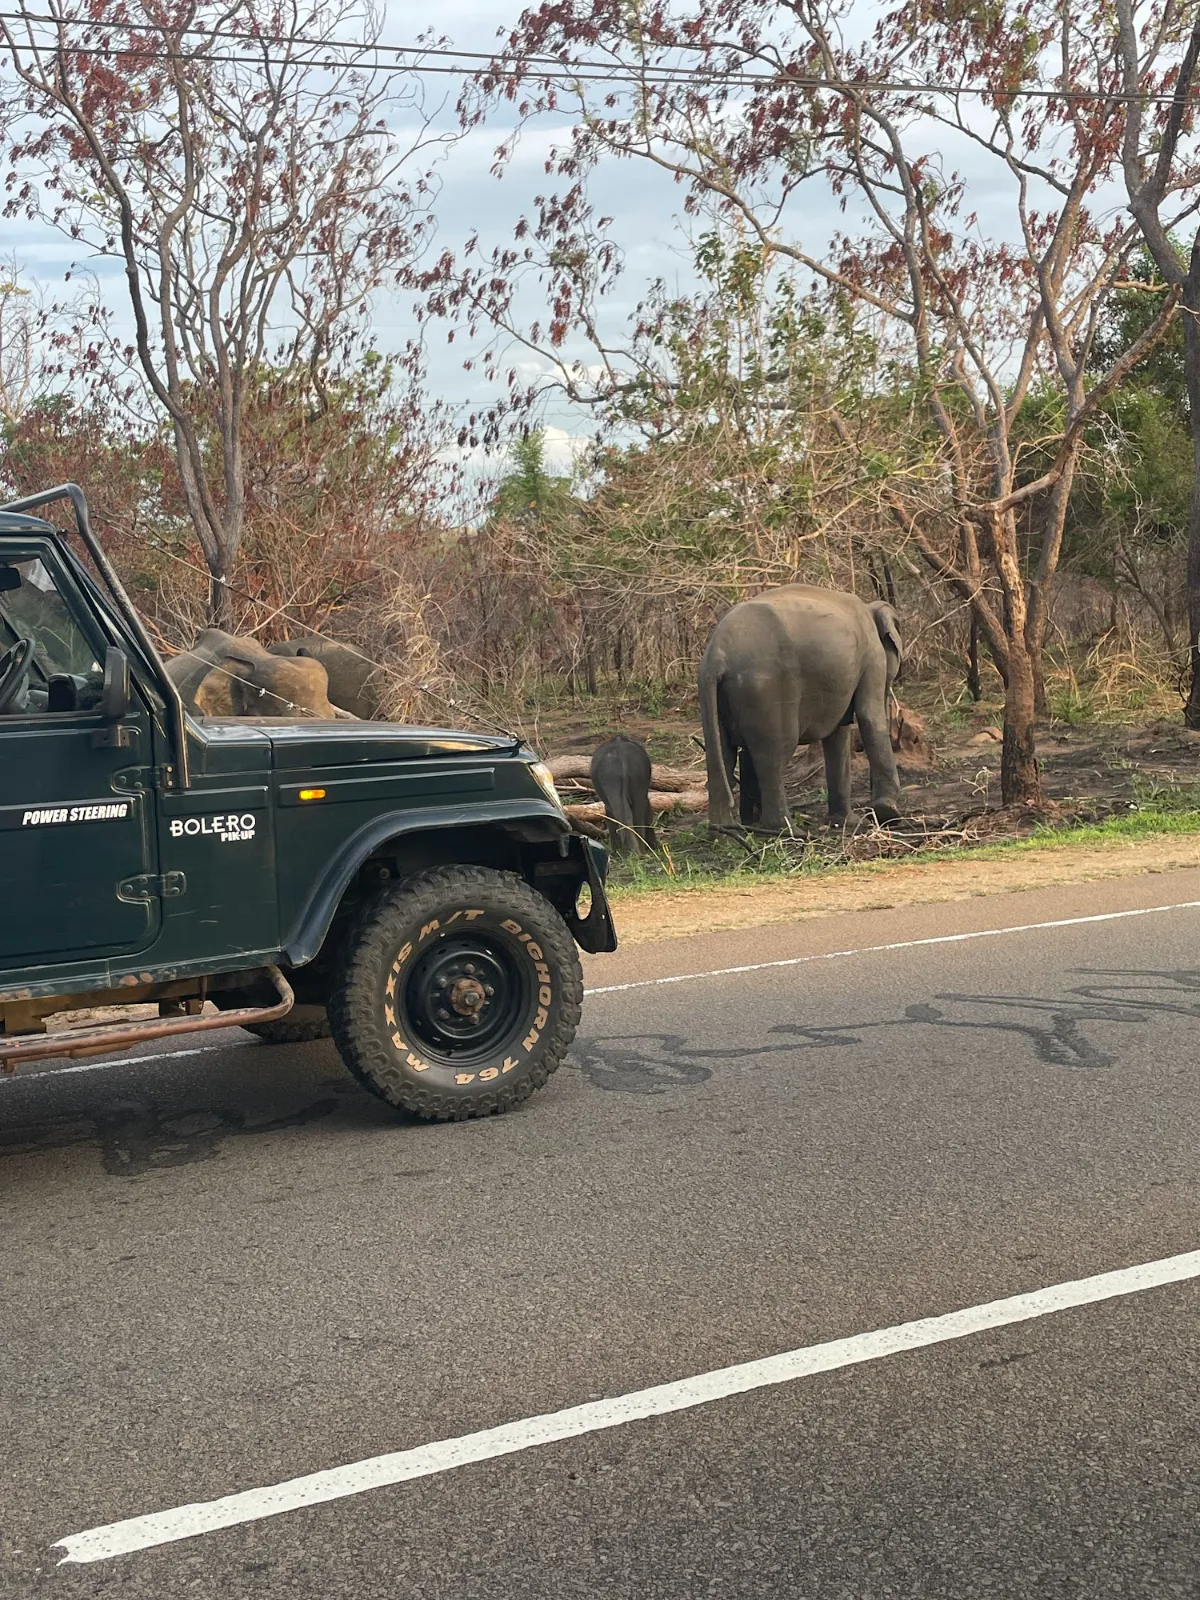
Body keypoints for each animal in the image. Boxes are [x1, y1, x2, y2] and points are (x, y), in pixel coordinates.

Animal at [698, 585, 903, 832]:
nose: (873, 811)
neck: (869, 607)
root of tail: (717, 654)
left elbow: (838, 734)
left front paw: (847, 822)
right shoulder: (872, 656)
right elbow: (869, 716)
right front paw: (888, 813)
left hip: (716, 694)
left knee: (722, 755)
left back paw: (725, 832)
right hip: (767, 689)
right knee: (774, 755)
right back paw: (788, 831)